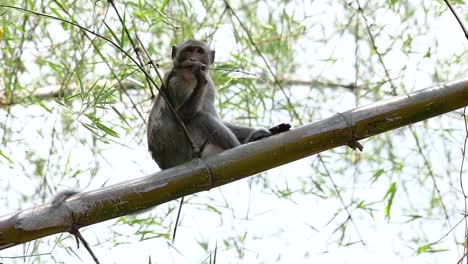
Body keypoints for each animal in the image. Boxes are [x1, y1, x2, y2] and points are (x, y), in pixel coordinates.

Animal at [148, 40, 290, 170]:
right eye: (188, 50)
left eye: (199, 51)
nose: (192, 59)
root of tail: (165, 166)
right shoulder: (178, 80)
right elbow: (182, 116)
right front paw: (200, 78)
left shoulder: (209, 87)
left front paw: (273, 129)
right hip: (186, 154)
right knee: (199, 118)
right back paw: (243, 145)